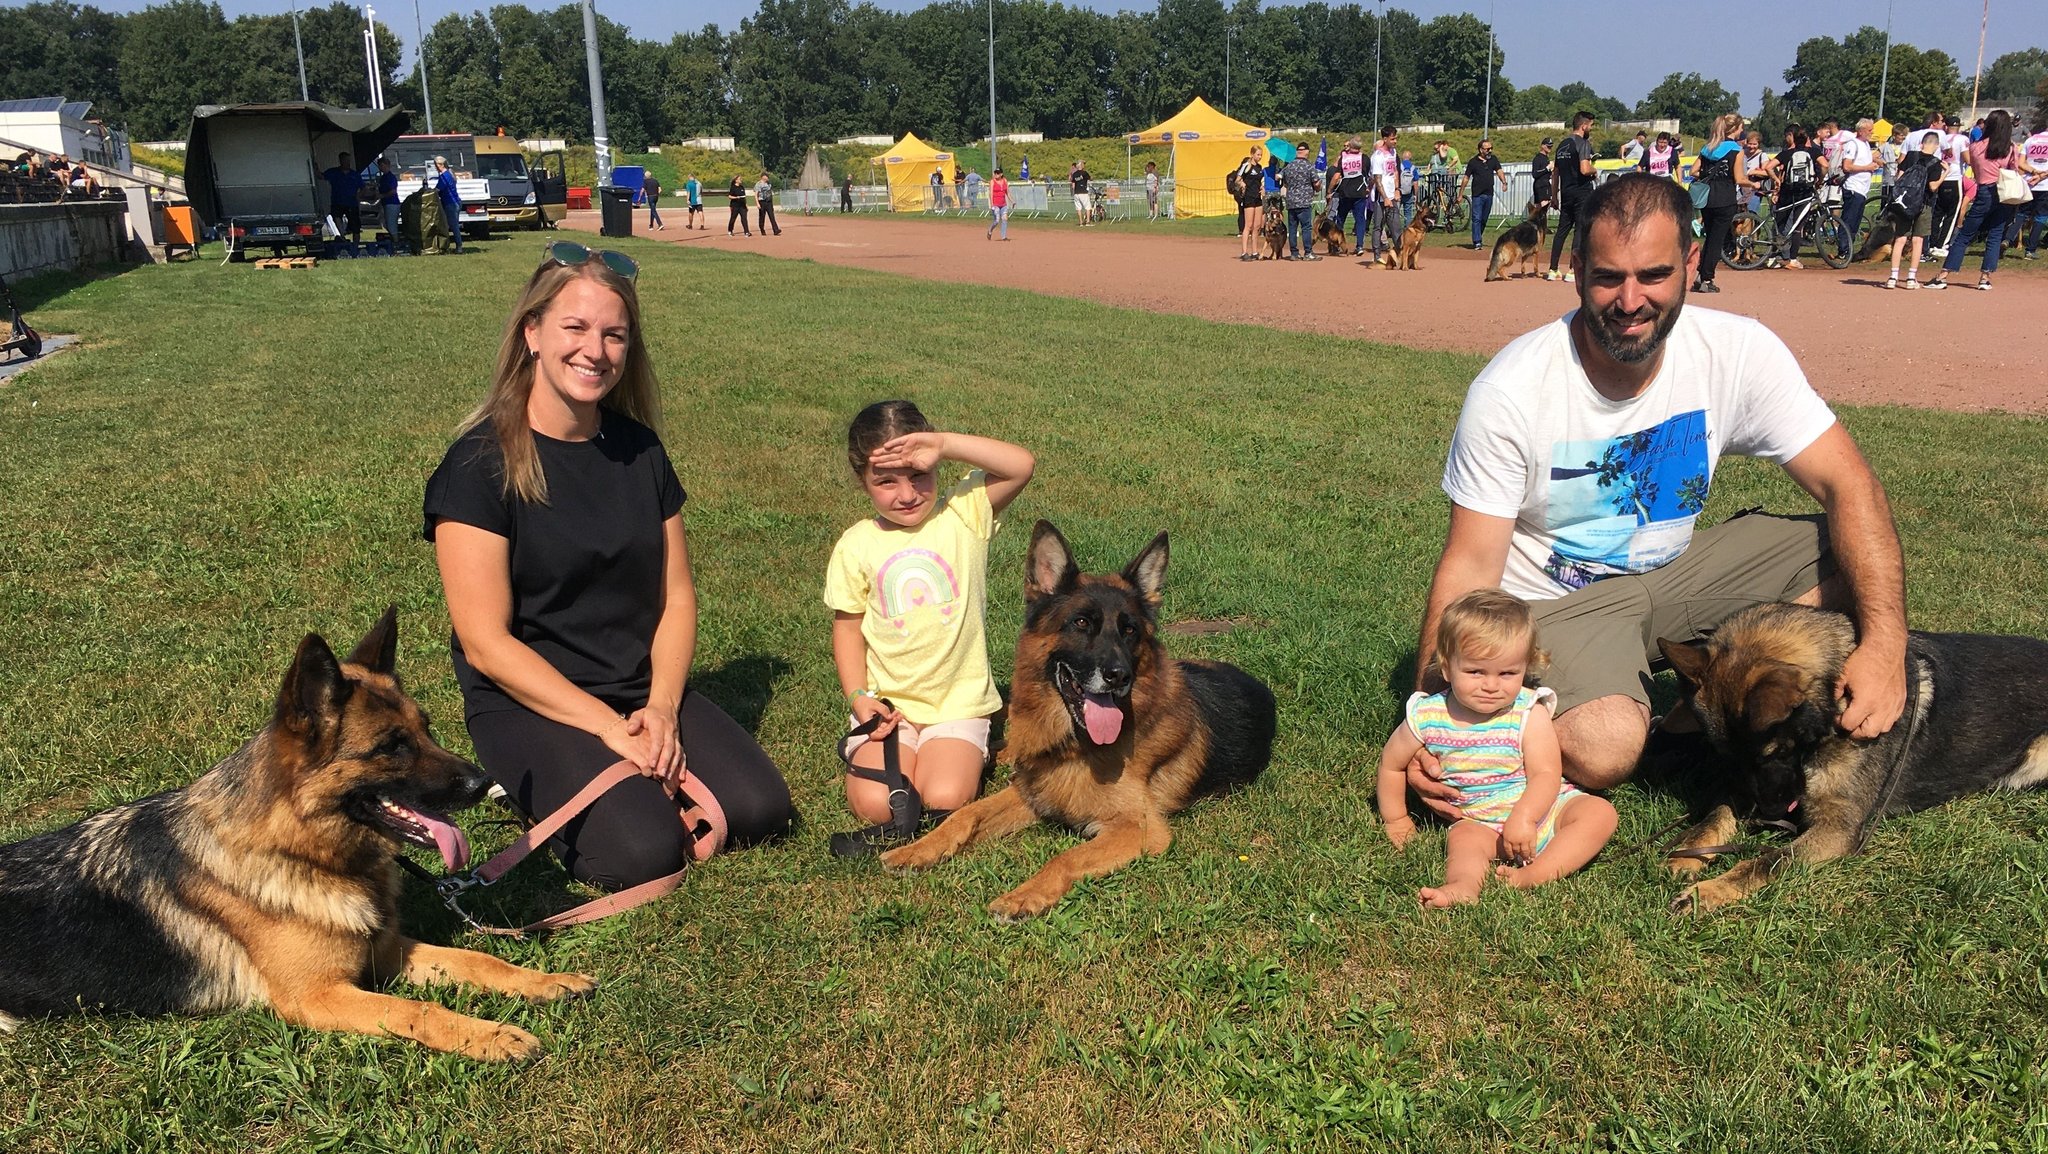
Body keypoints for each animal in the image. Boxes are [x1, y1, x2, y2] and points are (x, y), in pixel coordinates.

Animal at [0, 610, 593, 1057]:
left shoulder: (385, 951)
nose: (485, 781)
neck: (301, 853)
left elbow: (477, 959)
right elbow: (420, 1010)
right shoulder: (321, 994)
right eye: (391, 746)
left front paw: (543, 982)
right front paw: (491, 1035)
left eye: (426, 730)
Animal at [884, 524, 1269, 922]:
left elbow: (1067, 857)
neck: (1072, 746)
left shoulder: (1138, 828)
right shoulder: (1032, 793)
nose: (1119, 676)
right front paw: (916, 849)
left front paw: (1024, 895)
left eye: (1130, 631)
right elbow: (965, 813)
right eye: (1081, 623)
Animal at [1654, 610, 2048, 918]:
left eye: (1774, 752)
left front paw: (1707, 892)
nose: (1765, 813)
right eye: (1730, 759)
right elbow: (1715, 816)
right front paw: (1685, 854)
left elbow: (1770, 860)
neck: (1834, 715)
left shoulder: (1837, 829)